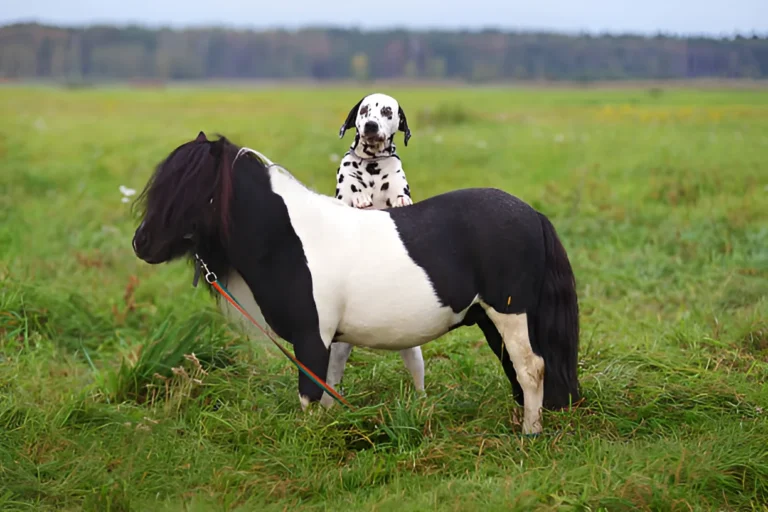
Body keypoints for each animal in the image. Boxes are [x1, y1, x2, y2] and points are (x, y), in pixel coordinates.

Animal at [132, 133, 580, 436]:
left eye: (191, 190)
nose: (141, 243)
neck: (289, 240)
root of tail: (532, 214)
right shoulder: (330, 340)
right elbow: (329, 391)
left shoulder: (311, 337)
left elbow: (310, 396)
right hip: (489, 317)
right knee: (516, 367)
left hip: (509, 310)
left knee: (531, 367)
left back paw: (529, 434)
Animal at [320, 91, 426, 404]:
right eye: (365, 110)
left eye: (388, 111)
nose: (370, 125)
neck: (371, 166)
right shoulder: (343, 195)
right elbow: (352, 193)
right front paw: (361, 195)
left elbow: (401, 197)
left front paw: (400, 199)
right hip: (337, 352)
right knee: (331, 380)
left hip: (413, 350)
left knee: (418, 377)